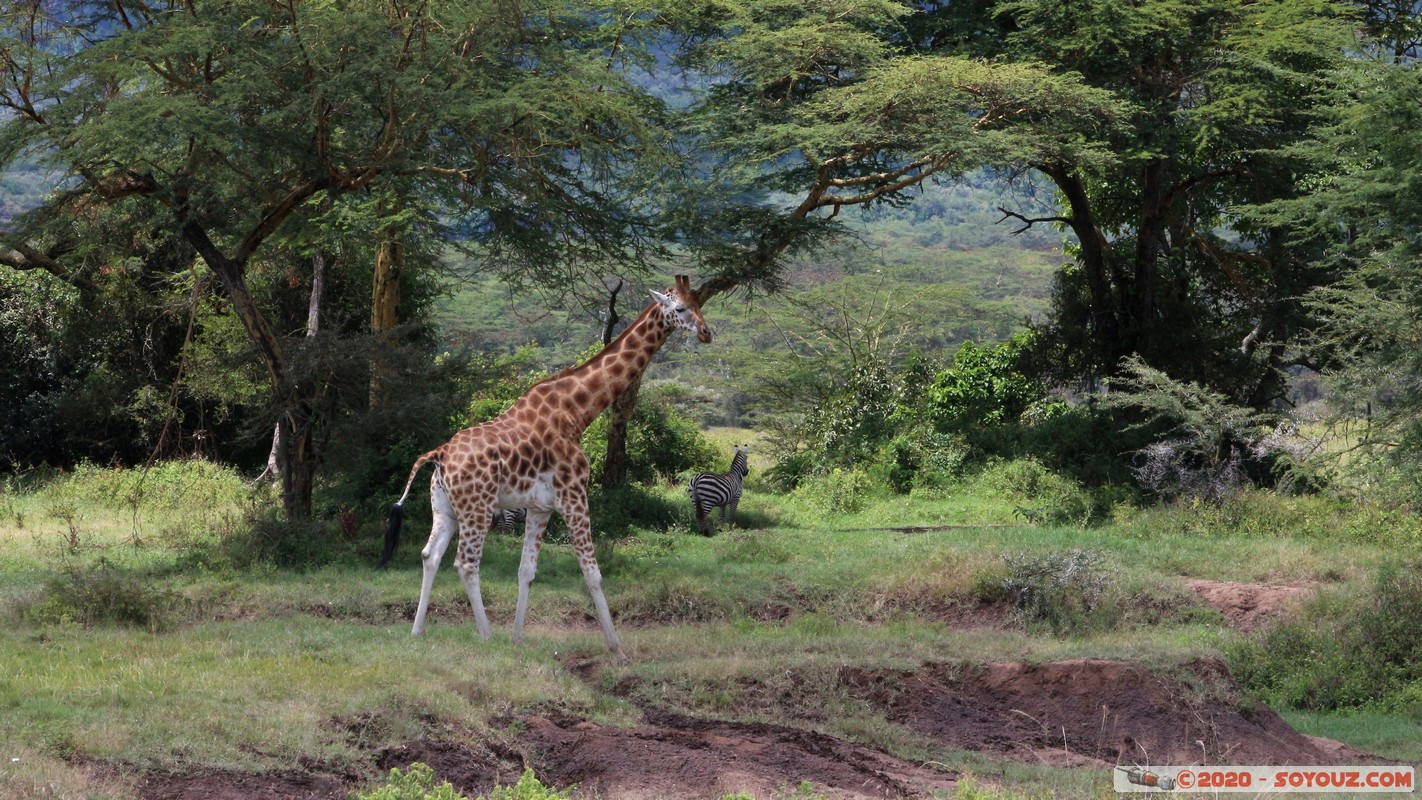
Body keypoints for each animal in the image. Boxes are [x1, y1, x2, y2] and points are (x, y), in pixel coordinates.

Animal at [378, 275, 711, 665]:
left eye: (700, 303)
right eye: (680, 308)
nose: (706, 333)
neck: (577, 412)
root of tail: (441, 454)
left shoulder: (539, 508)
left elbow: (527, 571)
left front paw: (518, 639)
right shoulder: (574, 497)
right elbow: (593, 574)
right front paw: (618, 651)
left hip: (445, 509)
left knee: (430, 555)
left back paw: (418, 631)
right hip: (478, 509)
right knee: (466, 563)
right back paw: (485, 635)